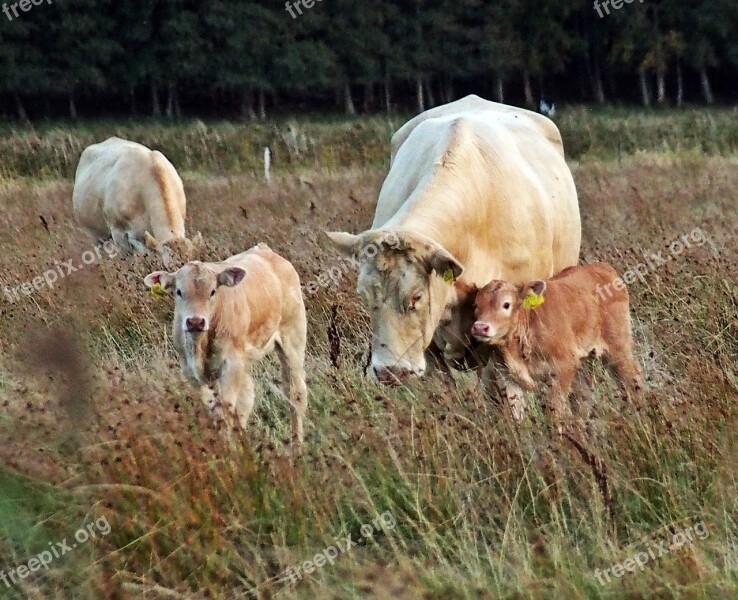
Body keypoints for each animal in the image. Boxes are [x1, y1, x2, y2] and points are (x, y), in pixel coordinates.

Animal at [144, 244, 308, 446]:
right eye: (179, 291)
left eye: (213, 291)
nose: (195, 322)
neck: (200, 344)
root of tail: (265, 250)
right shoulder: (191, 371)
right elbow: (214, 410)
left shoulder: (231, 363)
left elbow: (225, 410)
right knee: (247, 398)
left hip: (293, 338)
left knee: (295, 394)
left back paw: (297, 446)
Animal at [472, 264, 640, 428]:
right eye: (476, 305)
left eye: (506, 304)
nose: (480, 327)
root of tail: (602, 267)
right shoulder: (507, 376)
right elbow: (517, 416)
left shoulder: (563, 367)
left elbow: (555, 411)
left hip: (618, 347)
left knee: (632, 378)